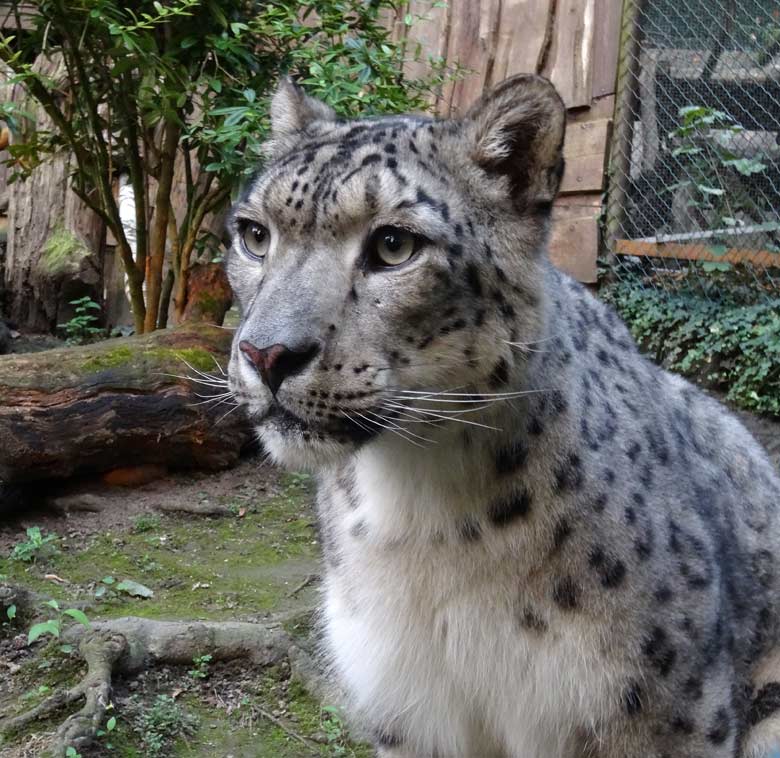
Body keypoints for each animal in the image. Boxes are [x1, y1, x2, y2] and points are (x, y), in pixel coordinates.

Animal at [227, 74, 780, 756]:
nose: (265, 353)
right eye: (254, 235)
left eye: (394, 245)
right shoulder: (408, 709)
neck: (420, 518)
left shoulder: (661, 714)